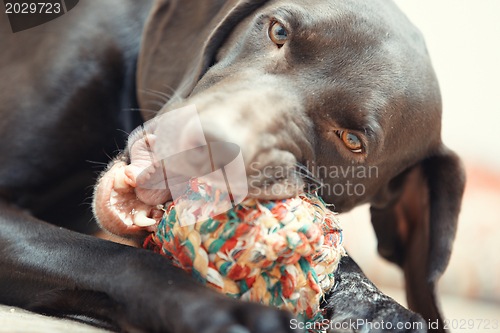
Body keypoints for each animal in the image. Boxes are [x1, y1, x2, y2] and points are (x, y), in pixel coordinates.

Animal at [0, 0, 464, 332]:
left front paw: (378, 307)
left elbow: (343, 261)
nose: (201, 145)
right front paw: (218, 309)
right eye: (278, 30)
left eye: (351, 140)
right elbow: (117, 257)